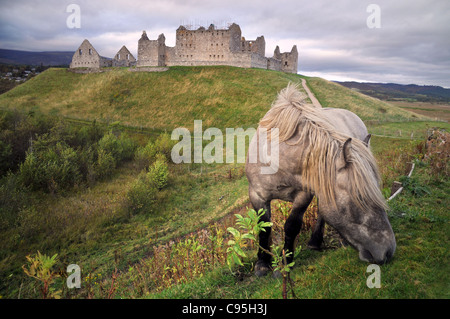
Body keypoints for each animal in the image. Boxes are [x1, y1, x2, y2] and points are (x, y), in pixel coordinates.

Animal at [244, 84, 396, 278]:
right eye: (360, 199)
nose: (388, 251)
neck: (278, 158)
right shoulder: (257, 194)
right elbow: (264, 228)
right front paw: (262, 263)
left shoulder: (304, 195)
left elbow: (292, 226)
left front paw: (286, 263)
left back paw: (316, 241)